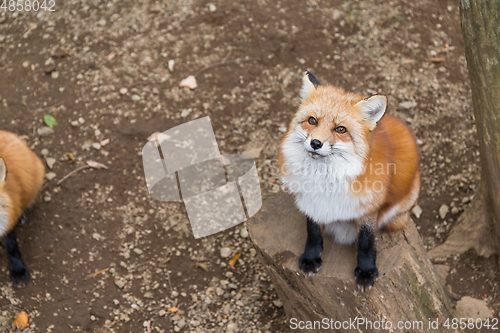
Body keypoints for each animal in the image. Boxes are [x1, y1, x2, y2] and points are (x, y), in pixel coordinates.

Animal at [280, 72, 420, 290]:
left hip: (398, 217)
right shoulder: (310, 201)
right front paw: (311, 257)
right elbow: (312, 231)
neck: (324, 180)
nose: (315, 143)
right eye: (312, 120)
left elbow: (366, 241)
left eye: (340, 129)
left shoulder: (368, 207)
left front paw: (366, 270)